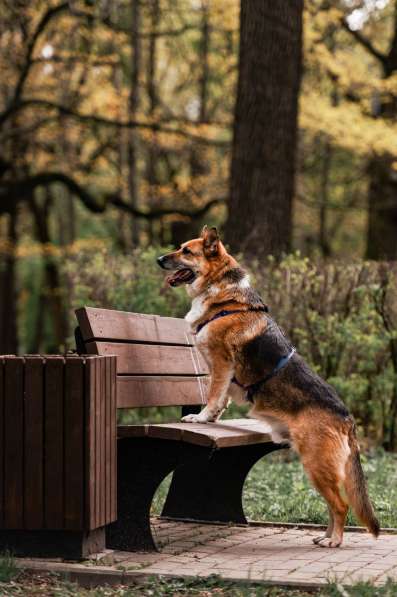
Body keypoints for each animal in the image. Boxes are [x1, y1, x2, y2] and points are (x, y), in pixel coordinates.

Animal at [156, 226, 378, 548]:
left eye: (186, 251)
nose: (159, 259)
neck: (224, 296)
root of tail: (346, 417)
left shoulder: (221, 363)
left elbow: (213, 395)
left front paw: (201, 418)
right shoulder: (221, 371)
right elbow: (220, 399)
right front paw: (212, 419)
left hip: (316, 464)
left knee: (340, 505)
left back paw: (333, 541)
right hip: (317, 469)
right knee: (332, 505)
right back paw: (324, 536)